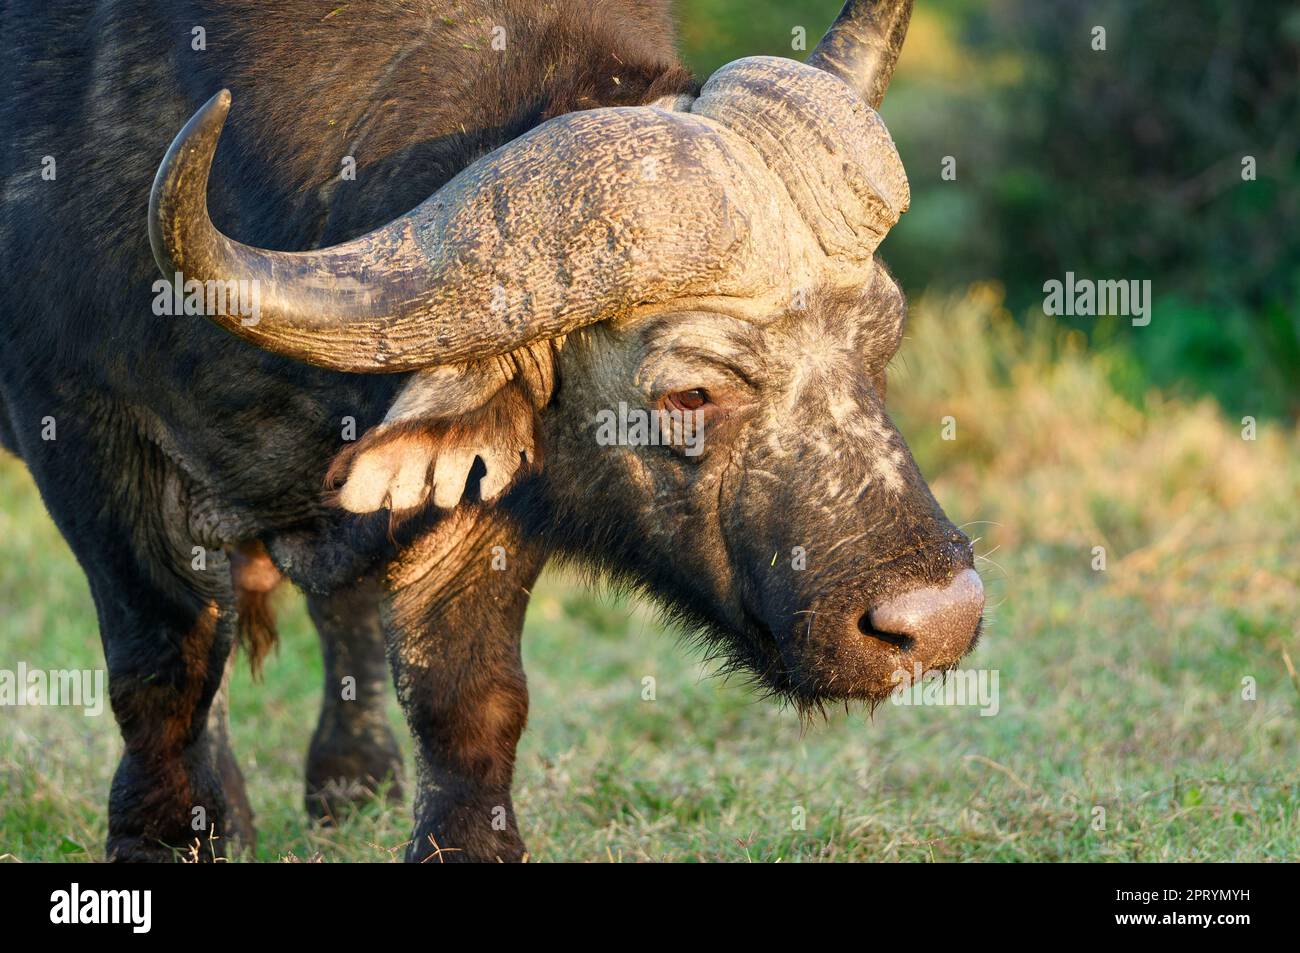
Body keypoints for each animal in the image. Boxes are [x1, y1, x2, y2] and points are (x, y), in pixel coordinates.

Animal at [0, 1, 977, 863]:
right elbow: (164, 663)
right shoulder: (81, 432)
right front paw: (162, 839)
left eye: (882, 339)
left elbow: (466, 690)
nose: (939, 620)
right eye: (692, 392)